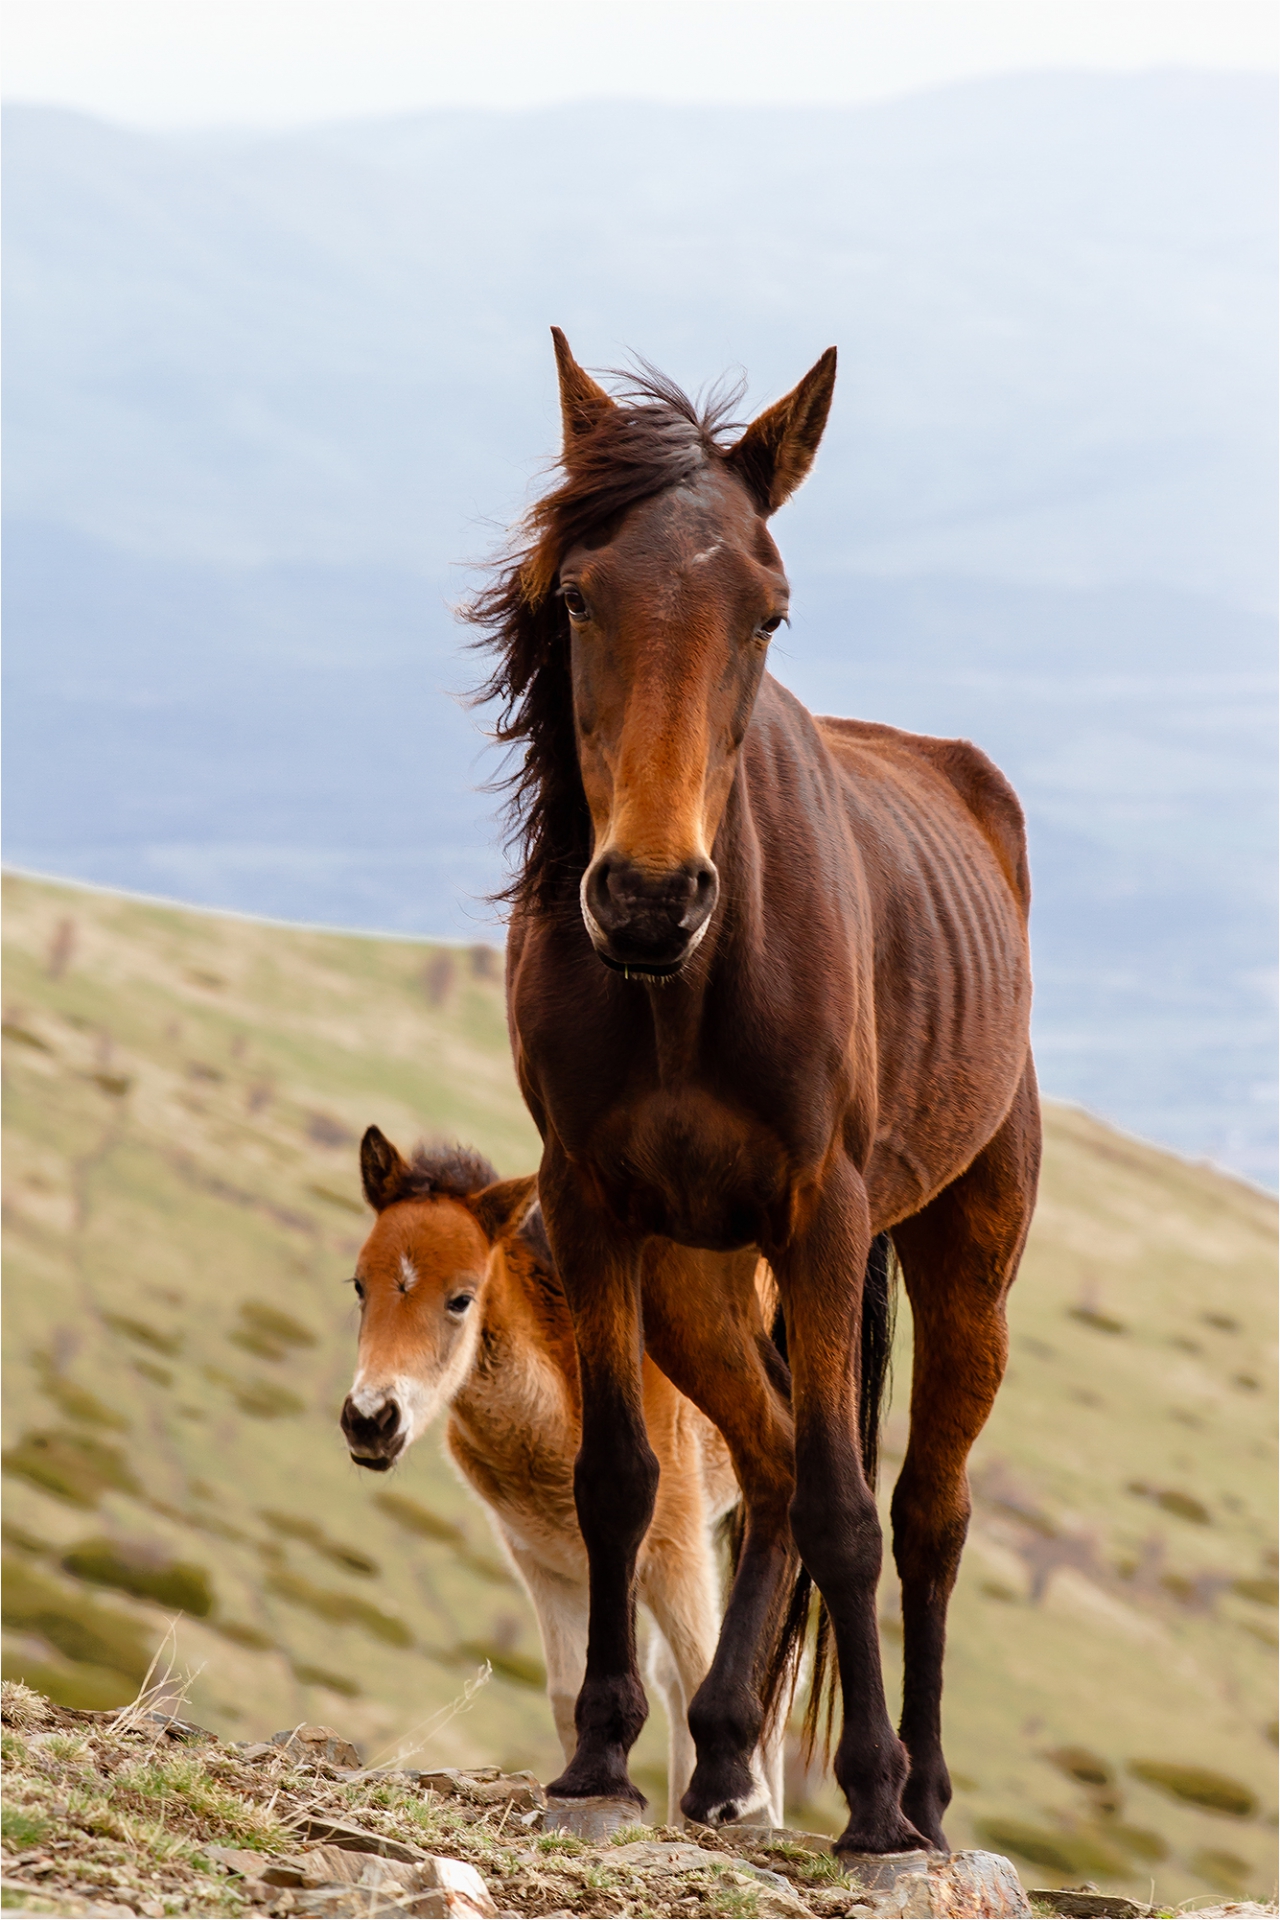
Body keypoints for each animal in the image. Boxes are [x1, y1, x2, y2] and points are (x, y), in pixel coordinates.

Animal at [470, 334, 1043, 1858]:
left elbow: (854, 1511)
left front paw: (876, 1807)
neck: (682, 991)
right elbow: (620, 1479)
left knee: (924, 1510)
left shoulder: (825, 1213)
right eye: (580, 596)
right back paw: (725, 1752)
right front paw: (599, 1760)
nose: (648, 898)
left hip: (960, 1259)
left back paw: (926, 1792)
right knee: (775, 1460)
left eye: (767, 614)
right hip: (695, 1278)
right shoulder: (589, 1206)